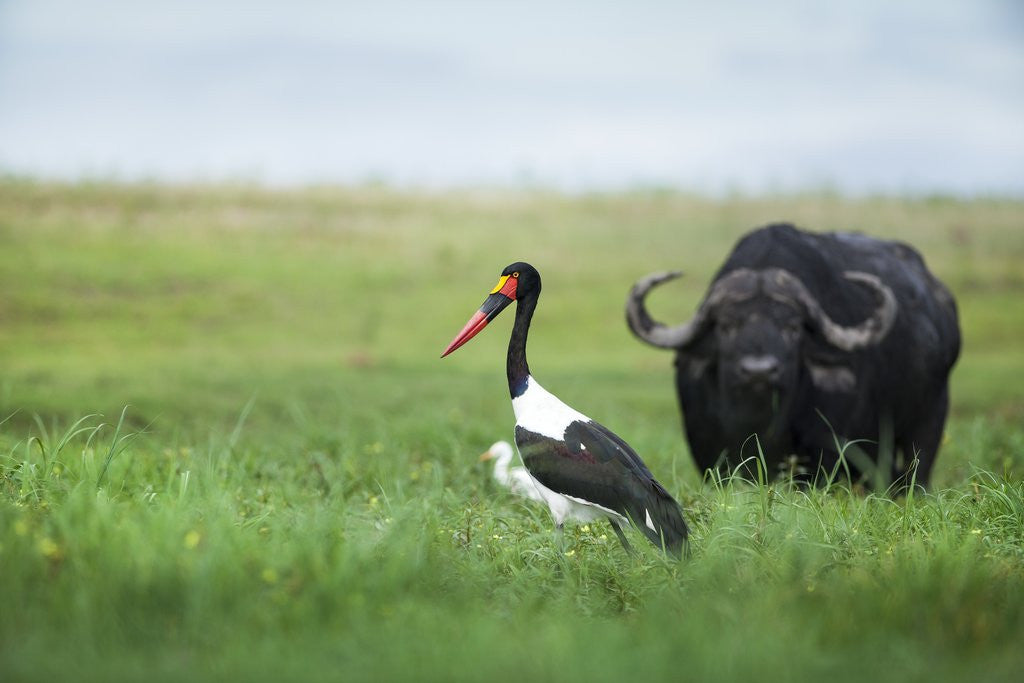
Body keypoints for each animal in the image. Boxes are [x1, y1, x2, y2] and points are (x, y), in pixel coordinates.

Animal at [626, 223, 960, 489]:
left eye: (793, 327)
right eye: (726, 326)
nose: (759, 372)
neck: (760, 421)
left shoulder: (826, 450)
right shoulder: (707, 451)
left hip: (930, 420)